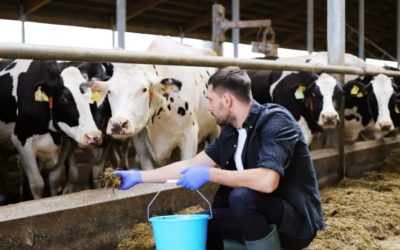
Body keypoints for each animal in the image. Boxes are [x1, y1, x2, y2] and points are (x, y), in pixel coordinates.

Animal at [0, 59, 103, 199]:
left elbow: (54, 178)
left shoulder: (66, 141)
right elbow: (37, 184)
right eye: (63, 99)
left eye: (91, 97)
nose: (94, 136)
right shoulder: (21, 140)